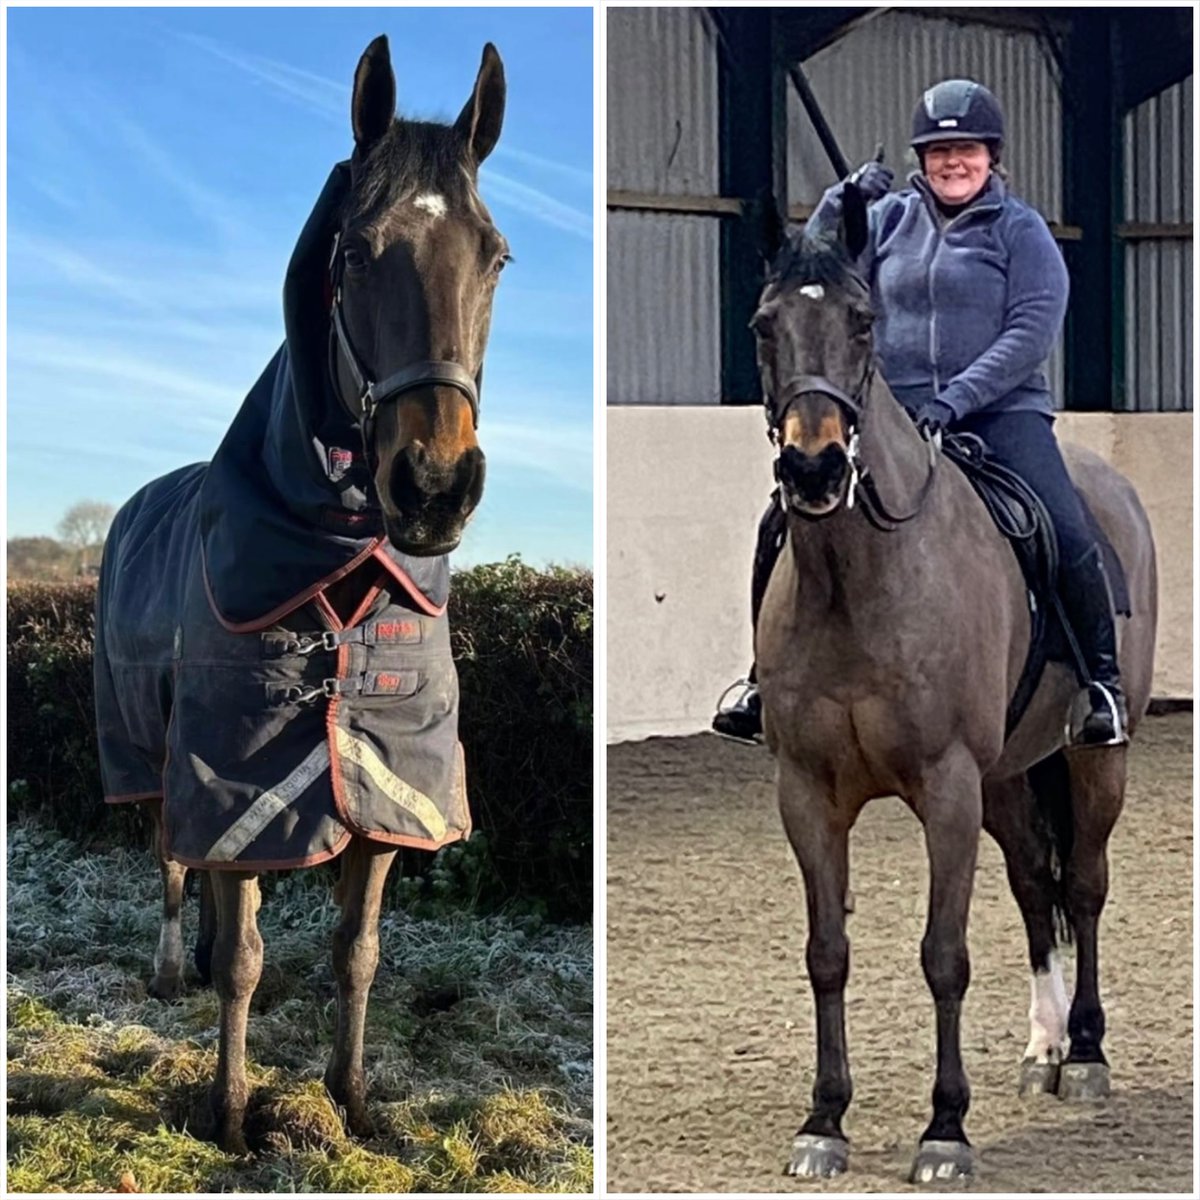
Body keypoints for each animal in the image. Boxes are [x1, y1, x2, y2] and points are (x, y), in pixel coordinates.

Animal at [94, 35, 508, 1154]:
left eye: (495, 255)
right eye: (355, 253)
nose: (435, 485)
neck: (338, 565)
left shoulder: (389, 791)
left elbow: (354, 952)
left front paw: (352, 1101)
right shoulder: (228, 773)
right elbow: (245, 953)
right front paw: (234, 1114)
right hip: (150, 746)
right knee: (171, 859)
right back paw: (170, 969)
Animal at [753, 183, 1157, 1183]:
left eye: (862, 323)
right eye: (764, 327)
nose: (814, 467)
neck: (860, 579)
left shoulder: (945, 787)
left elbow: (945, 954)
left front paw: (945, 1132)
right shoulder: (806, 792)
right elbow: (827, 952)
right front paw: (824, 1121)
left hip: (1096, 761)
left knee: (1082, 886)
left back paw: (1084, 1054)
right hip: (1009, 777)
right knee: (1034, 887)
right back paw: (1042, 1050)